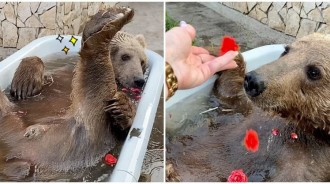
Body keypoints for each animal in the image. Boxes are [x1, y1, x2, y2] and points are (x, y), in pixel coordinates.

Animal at [0, 6, 142, 180]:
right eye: (125, 56)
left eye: (142, 61)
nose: (139, 79)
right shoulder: (60, 72)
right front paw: (26, 81)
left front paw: (123, 108)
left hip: (67, 143)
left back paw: (104, 27)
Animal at [168, 33, 330, 182]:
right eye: (286, 50)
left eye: (314, 71)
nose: (253, 81)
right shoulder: (251, 109)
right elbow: (230, 89)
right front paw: (216, 53)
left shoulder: (307, 162)